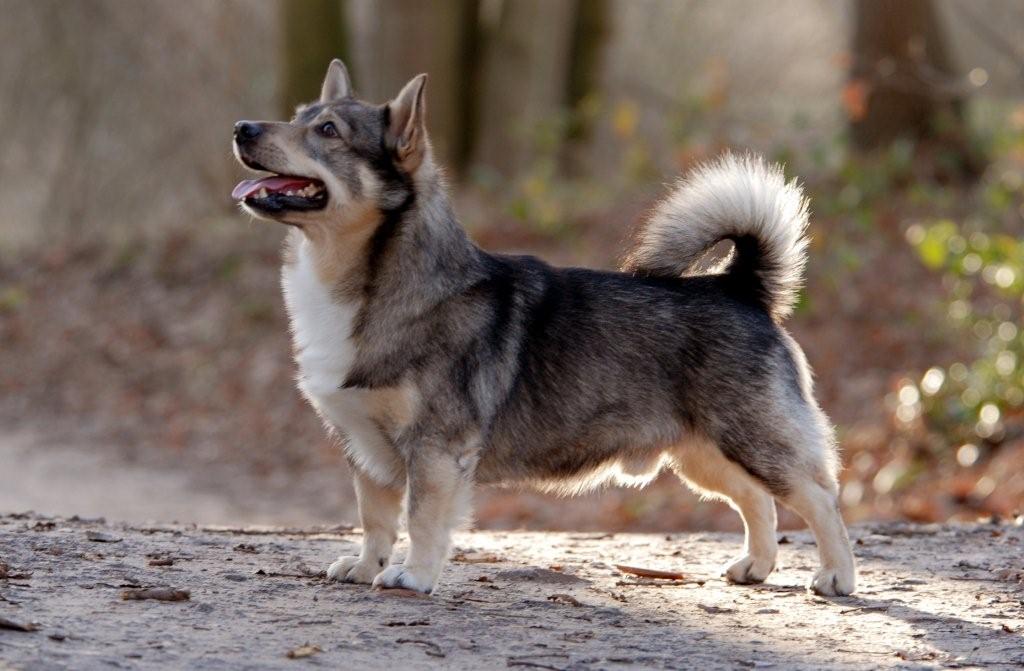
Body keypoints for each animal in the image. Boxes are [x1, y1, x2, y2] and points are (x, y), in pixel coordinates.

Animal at [230, 60, 856, 594]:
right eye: (299, 115)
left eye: (328, 130)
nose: (241, 127)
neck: (374, 286)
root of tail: (738, 284)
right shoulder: (367, 451)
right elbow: (375, 519)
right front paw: (365, 567)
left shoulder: (435, 449)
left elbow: (422, 519)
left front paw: (413, 576)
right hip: (703, 454)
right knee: (759, 501)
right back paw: (757, 565)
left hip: (752, 439)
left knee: (820, 497)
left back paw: (837, 577)